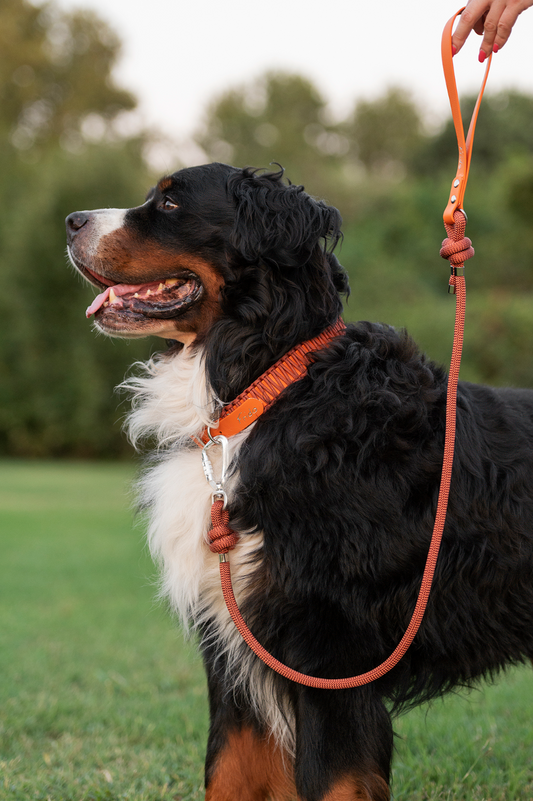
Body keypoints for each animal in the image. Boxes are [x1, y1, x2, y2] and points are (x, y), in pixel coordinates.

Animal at [66, 164, 532, 800]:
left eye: (170, 202)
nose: (71, 221)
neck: (262, 390)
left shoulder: (327, 647)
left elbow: (333, 778)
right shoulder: (234, 647)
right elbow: (228, 769)